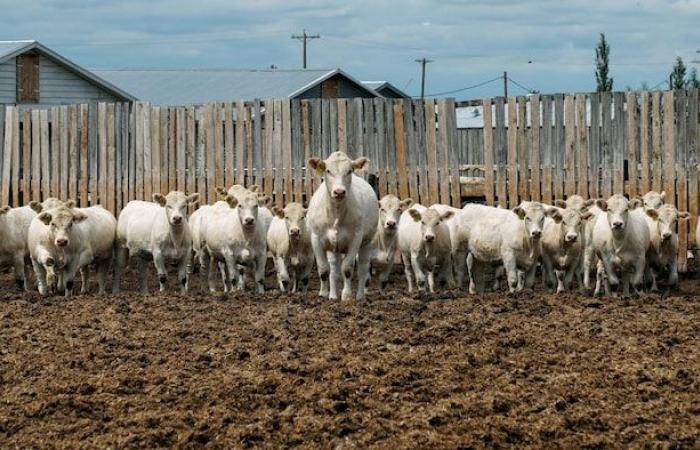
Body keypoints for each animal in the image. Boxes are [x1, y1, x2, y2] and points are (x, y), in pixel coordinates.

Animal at [308, 151, 378, 302]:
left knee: (363, 268)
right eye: (328, 171)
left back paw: (360, 296)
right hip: (334, 246)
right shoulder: (316, 238)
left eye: (349, 171)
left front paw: (346, 295)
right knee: (334, 269)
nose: (339, 191)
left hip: (367, 241)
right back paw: (333, 295)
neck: (336, 212)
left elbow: (347, 268)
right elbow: (323, 269)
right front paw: (324, 293)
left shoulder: (355, 239)